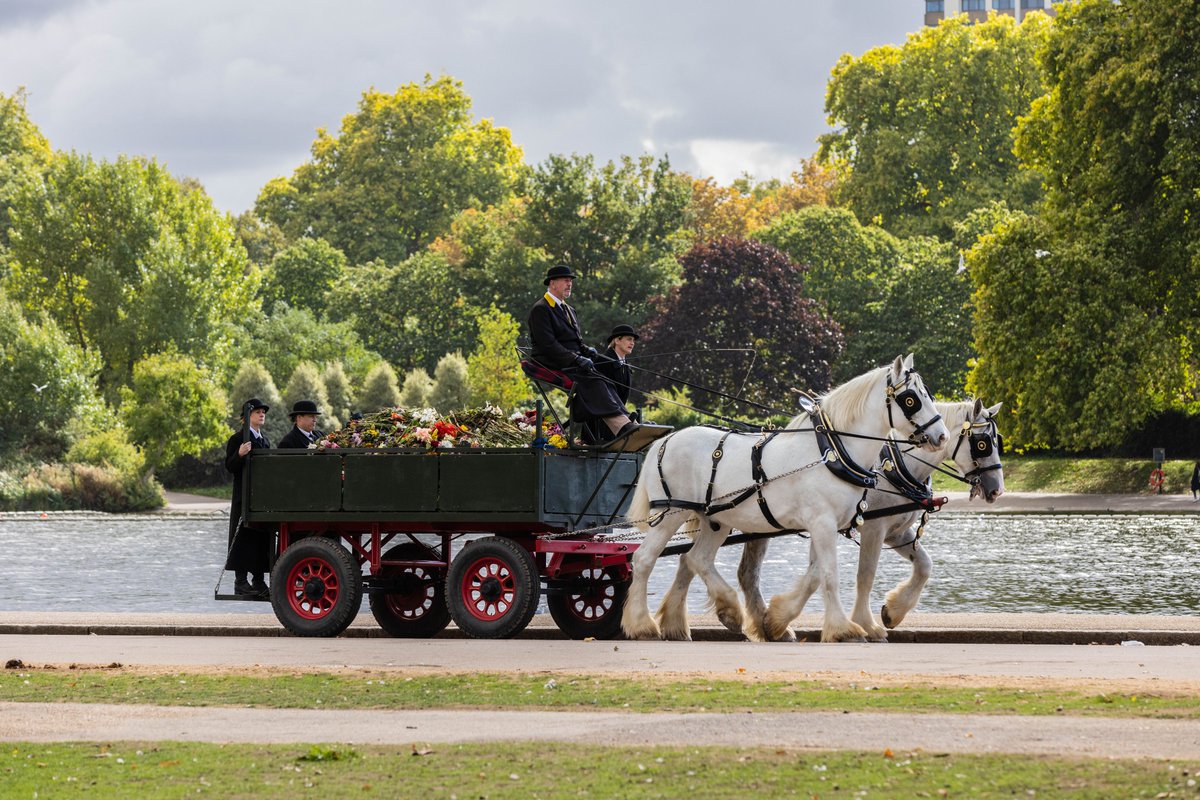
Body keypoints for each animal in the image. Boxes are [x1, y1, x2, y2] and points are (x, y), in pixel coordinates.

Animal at [619, 357, 945, 642]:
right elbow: (829, 574)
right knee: (644, 559)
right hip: (670, 513)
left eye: (928, 394)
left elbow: (815, 574)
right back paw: (642, 624)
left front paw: (776, 620)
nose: (941, 436)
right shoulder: (823, 523)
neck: (833, 450)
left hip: (714, 519)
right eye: (911, 399)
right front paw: (843, 629)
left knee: (696, 559)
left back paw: (723, 613)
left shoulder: (825, 526)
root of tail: (666, 439)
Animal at [734, 400, 1008, 642]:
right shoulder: (874, 528)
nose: (997, 490)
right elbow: (866, 574)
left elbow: (924, 565)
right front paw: (866, 624)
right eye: (982, 443)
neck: (894, 467)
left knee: (748, 573)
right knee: (749, 573)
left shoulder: (896, 532)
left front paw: (894, 611)